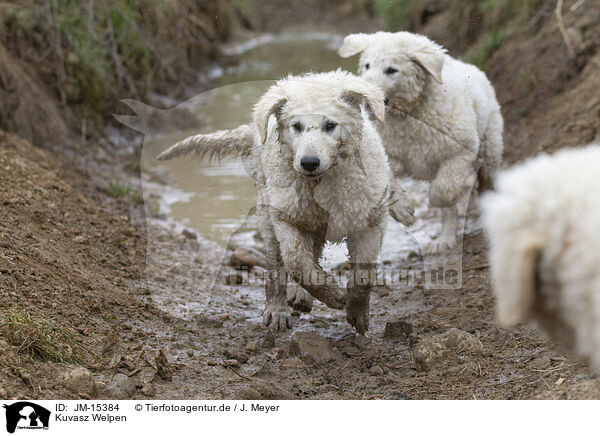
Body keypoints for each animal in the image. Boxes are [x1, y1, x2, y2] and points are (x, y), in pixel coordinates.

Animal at [340, 30, 504, 252]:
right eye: (367, 65)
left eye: (391, 70)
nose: (364, 95)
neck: (409, 116)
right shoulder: (390, 154)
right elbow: (389, 180)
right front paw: (402, 210)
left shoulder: (459, 153)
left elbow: (441, 190)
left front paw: (436, 200)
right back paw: (444, 239)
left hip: (490, 147)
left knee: (487, 183)